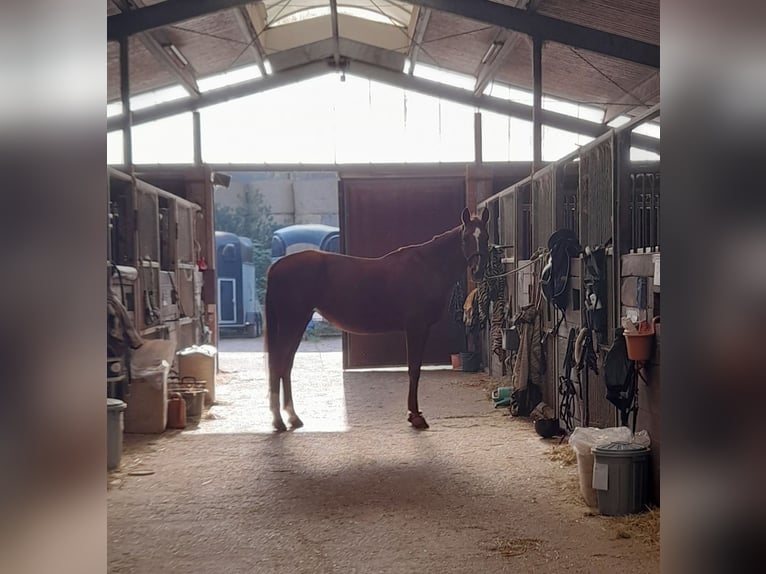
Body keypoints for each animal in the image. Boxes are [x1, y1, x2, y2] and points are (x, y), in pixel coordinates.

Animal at [268, 208, 488, 432]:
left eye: (486, 237)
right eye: (466, 238)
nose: (478, 270)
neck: (427, 267)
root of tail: (277, 266)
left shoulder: (422, 329)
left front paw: (414, 414)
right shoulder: (415, 328)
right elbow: (414, 369)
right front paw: (415, 416)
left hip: (298, 322)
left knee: (286, 364)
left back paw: (292, 417)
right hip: (291, 322)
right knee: (278, 363)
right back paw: (279, 420)